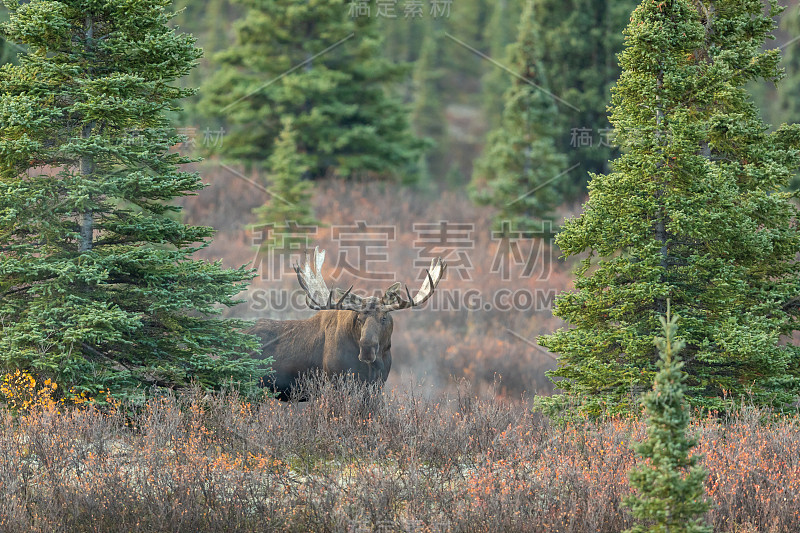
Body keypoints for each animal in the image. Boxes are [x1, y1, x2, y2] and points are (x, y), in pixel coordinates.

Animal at [247, 246, 446, 400]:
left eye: (384, 317)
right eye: (359, 318)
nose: (367, 349)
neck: (374, 366)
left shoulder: (376, 386)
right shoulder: (337, 383)